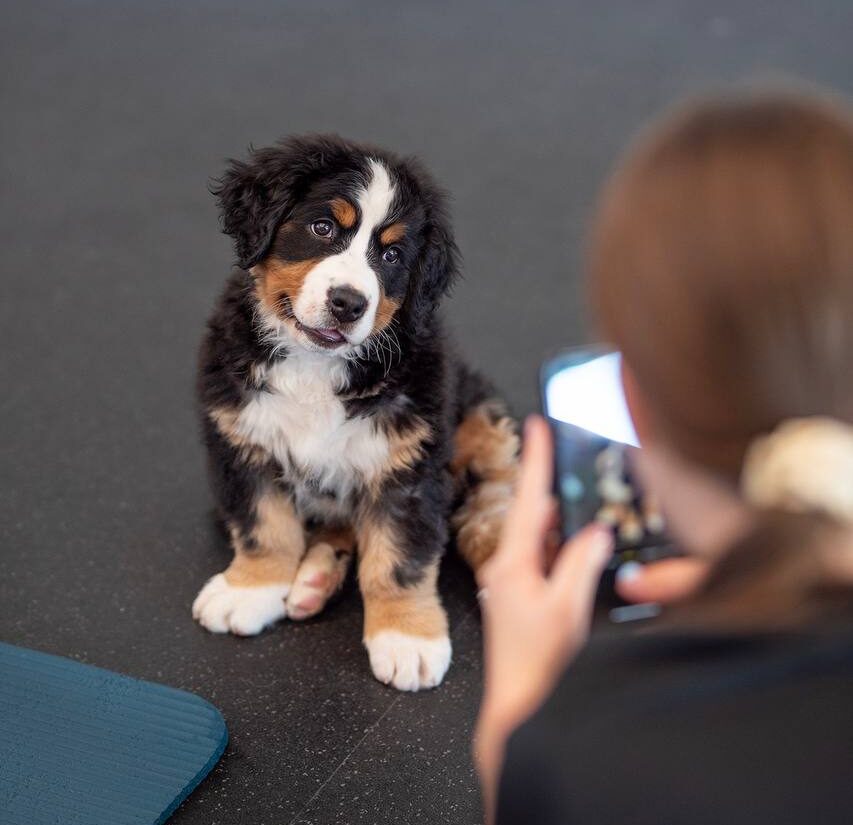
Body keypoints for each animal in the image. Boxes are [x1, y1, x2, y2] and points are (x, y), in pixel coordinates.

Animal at [191, 137, 516, 688]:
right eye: (323, 228)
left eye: (391, 254)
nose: (348, 303)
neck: (314, 368)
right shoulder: (242, 441)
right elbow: (264, 527)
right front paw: (250, 589)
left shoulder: (409, 464)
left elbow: (398, 560)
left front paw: (407, 637)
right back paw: (315, 578)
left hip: (480, 425)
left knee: (493, 508)